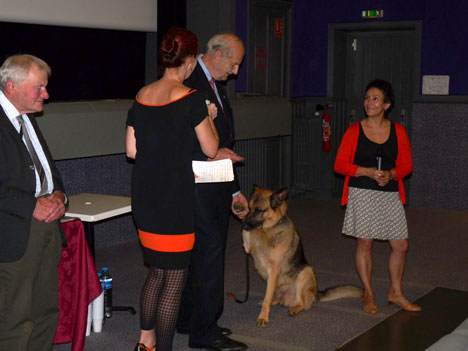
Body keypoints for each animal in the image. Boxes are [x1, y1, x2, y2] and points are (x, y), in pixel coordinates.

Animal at [241, 187, 362, 328]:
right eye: (249, 208)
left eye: (259, 210)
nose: (244, 225)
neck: (268, 230)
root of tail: (315, 294)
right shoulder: (249, 250)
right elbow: (247, 240)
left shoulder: (273, 270)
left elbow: (267, 297)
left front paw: (263, 317)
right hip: (278, 286)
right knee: (277, 298)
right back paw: (276, 301)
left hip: (306, 272)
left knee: (302, 303)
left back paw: (295, 308)